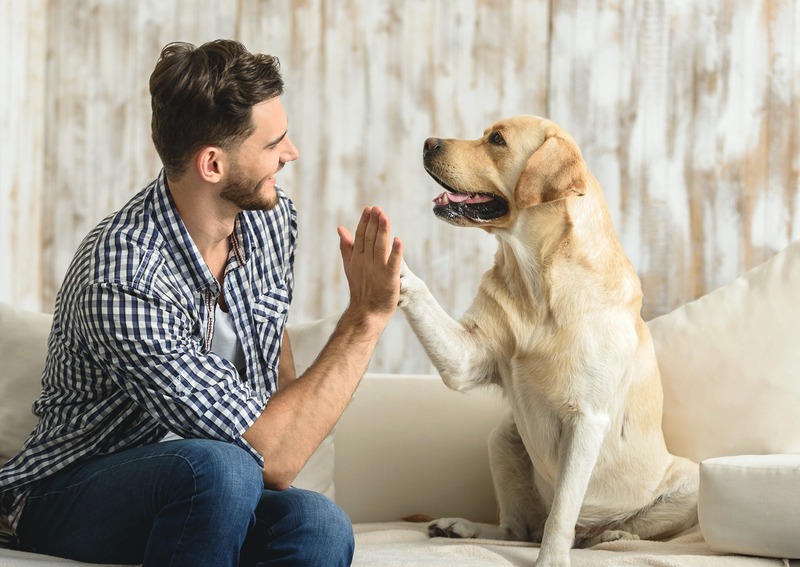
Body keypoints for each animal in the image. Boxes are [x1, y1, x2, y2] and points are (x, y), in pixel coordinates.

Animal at [400, 116, 700, 567]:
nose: (427, 142)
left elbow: (562, 512)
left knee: (589, 530)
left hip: (690, 482)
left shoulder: (586, 420)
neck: (538, 281)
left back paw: (610, 534)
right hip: (503, 437)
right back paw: (460, 526)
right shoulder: (466, 358)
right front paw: (387, 262)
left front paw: (553, 560)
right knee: (517, 529)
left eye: (497, 140)